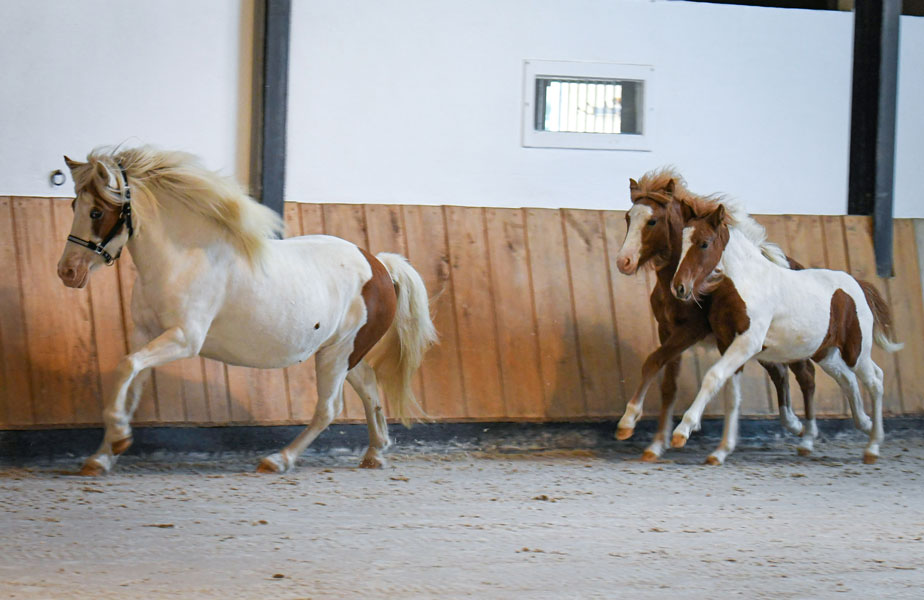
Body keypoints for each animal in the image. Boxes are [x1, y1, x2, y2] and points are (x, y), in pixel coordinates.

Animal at [56, 146, 438, 474]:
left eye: (96, 212)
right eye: (74, 205)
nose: (67, 272)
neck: (183, 258)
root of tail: (380, 266)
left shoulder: (183, 339)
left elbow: (126, 367)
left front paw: (118, 440)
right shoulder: (144, 333)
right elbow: (130, 382)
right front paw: (103, 457)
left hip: (338, 355)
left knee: (329, 409)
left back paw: (279, 459)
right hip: (344, 354)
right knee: (370, 389)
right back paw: (375, 454)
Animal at [612, 169, 816, 464]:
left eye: (652, 220)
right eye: (628, 218)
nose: (623, 261)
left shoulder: (690, 331)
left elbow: (652, 362)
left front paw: (628, 421)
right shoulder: (667, 330)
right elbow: (668, 385)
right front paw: (657, 445)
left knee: (805, 374)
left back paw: (806, 435)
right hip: (761, 346)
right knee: (780, 372)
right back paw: (794, 424)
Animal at [672, 202, 904, 464]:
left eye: (704, 243)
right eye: (681, 242)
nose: (680, 287)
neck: (748, 283)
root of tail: (857, 284)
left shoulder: (748, 342)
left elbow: (713, 376)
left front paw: (682, 431)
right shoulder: (727, 343)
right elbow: (732, 395)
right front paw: (720, 452)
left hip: (856, 351)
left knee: (875, 379)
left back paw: (872, 446)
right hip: (826, 353)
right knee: (847, 379)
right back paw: (864, 425)